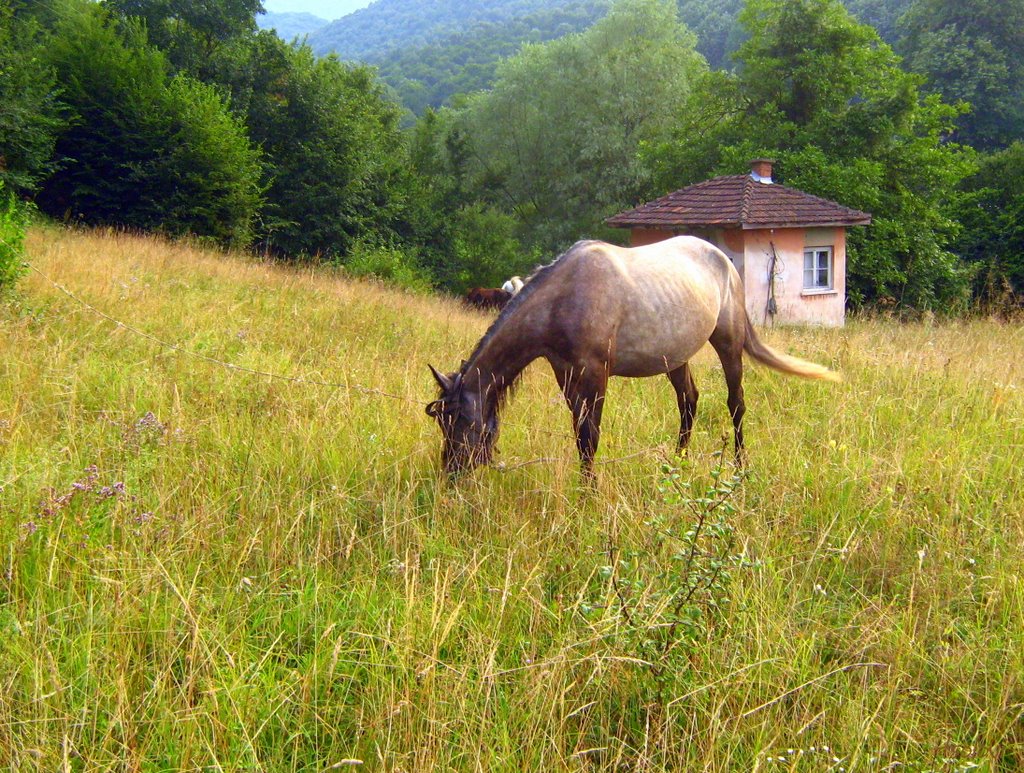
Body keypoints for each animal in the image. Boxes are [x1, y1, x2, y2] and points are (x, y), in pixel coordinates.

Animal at [428, 235, 835, 477]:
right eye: (442, 422)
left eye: (461, 420)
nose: (451, 473)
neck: (564, 300)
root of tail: (724, 260)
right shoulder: (566, 374)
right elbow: (579, 433)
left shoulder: (595, 375)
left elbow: (589, 438)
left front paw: (588, 498)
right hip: (676, 358)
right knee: (689, 402)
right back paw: (677, 463)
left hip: (728, 344)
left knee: (736, 404)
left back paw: (739, 466)